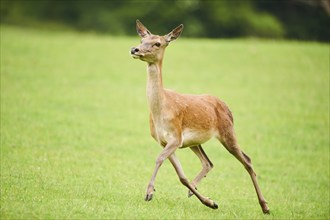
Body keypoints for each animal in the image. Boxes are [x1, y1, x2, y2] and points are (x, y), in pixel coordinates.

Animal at [130, 19, 270, 214]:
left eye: (157, 43)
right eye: (142, 40)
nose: (134, 49)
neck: (160, 111)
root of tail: (226, 106)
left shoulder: (175, 136)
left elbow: (159, 158)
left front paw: (149, 192)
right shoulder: (165, 141)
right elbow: (181, 176)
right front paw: (211, 202)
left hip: (227, 131)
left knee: (247, 161)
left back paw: (265, 206)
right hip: (194, 142)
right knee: (208, 162)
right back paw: (195, 190)